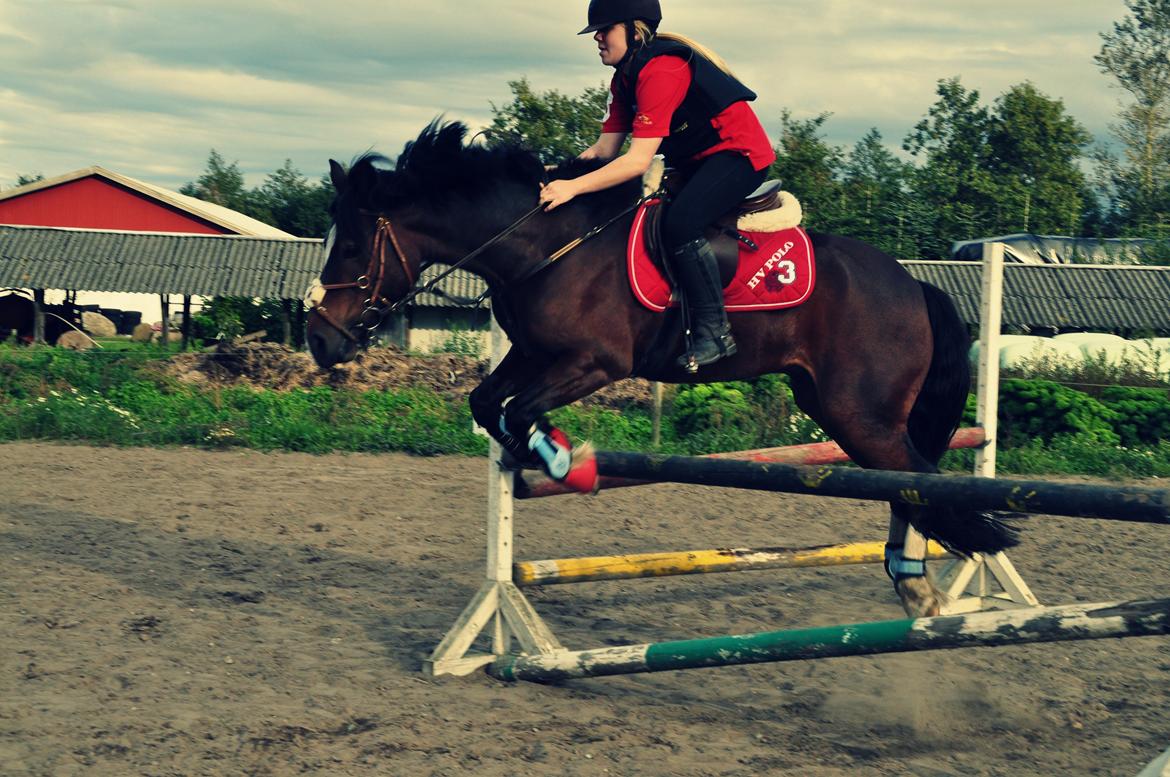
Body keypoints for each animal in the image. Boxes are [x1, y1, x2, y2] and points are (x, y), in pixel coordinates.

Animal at [306, 121, 1017, 617]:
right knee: (908, 483)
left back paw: (917, 584)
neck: (541, 243)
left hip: (861, 414)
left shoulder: (595, 361)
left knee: (917, 481)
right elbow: (490, 405)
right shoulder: (533, 355)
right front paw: (545, 454)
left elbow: (518, 408)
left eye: (352, 245)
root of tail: (913, 287)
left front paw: (566, 461)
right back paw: (912, 582)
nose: (319, 340)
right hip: (835, 408)